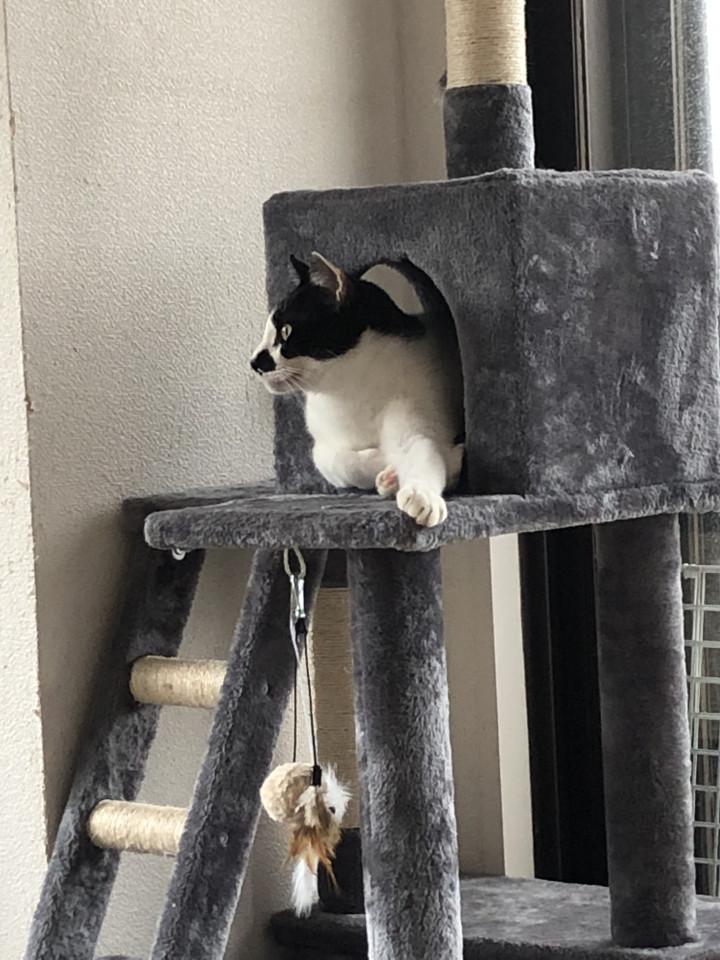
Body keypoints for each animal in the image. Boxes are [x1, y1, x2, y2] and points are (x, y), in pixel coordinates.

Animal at [250, 252, 464, 527]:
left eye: (286, 331)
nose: (253, 362)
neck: (348, 390)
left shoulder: (417, 416)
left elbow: (423, 453)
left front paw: (421, 495)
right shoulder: (322, 444)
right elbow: (335, 463)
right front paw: (383, 464)